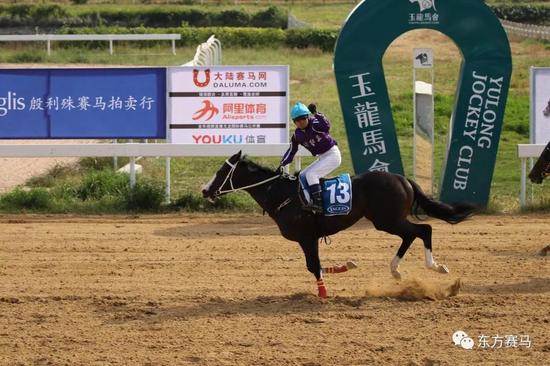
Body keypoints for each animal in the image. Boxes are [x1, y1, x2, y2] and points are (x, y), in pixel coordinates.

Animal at [203, 152, 478, 298]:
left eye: (221, 172)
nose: (205, 190)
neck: (281, 193)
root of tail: (403, 179)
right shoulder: (310, 238)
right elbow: (316, 265)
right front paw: (347, 265)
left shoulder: (306, 237)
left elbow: (313, 265)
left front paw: (323, 292)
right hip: (388, 220)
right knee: (412, 235)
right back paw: (397, 271)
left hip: (386, 220)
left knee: (423, 230)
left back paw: (434, 267)